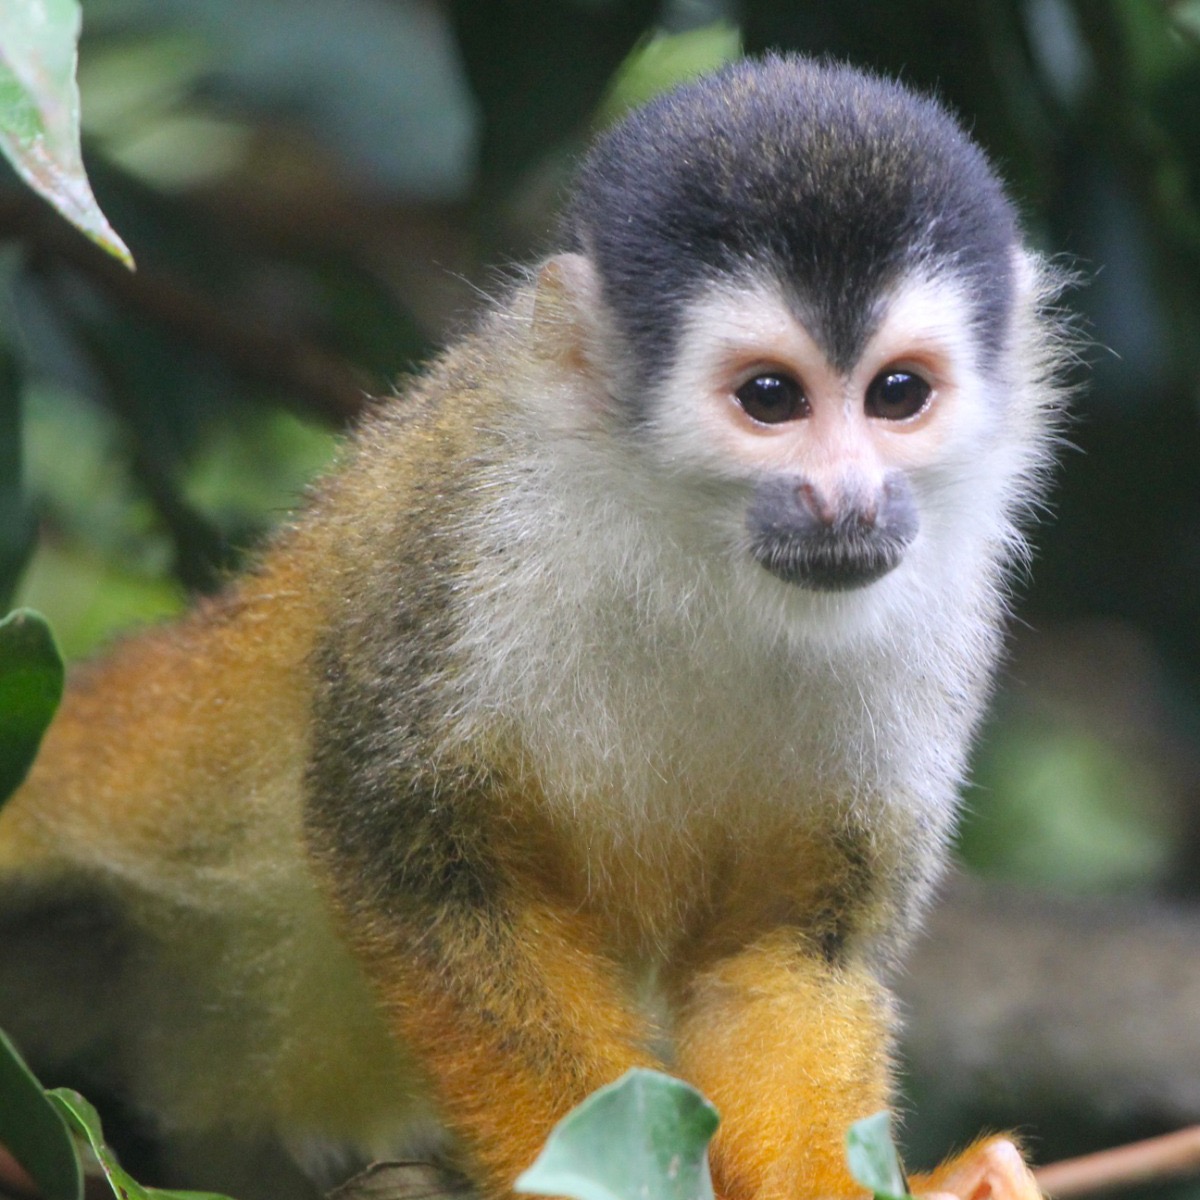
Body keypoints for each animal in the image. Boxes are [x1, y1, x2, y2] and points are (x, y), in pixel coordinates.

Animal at [0, 54, 1066, 1200]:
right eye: (772, 398)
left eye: (897, 393)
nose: (847, 499)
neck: (707, 561)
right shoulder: (466, 537)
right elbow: (410, 862)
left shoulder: (939, 614)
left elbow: (789, 947)